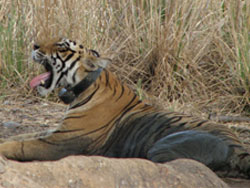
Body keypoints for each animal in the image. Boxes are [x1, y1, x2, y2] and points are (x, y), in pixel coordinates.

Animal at [0, 37, 249, 179]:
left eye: (61, 46)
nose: (33, 45)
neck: (83, 87)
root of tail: (239, 147)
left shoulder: (61, 142)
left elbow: (22, 145)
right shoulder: (55, 131)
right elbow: (23, 135)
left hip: (164, 147)